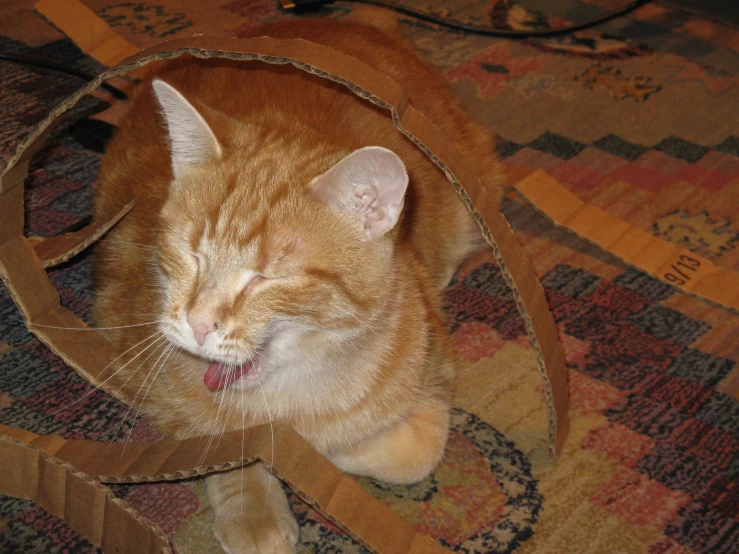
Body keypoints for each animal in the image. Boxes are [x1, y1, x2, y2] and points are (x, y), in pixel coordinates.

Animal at [94, 12, 502, 552]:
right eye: (191, 253)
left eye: (268, 278)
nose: (198, 323)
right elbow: (215, 438)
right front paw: (254, 502)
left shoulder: (437, 375)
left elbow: (413, 453)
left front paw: (321, 451)